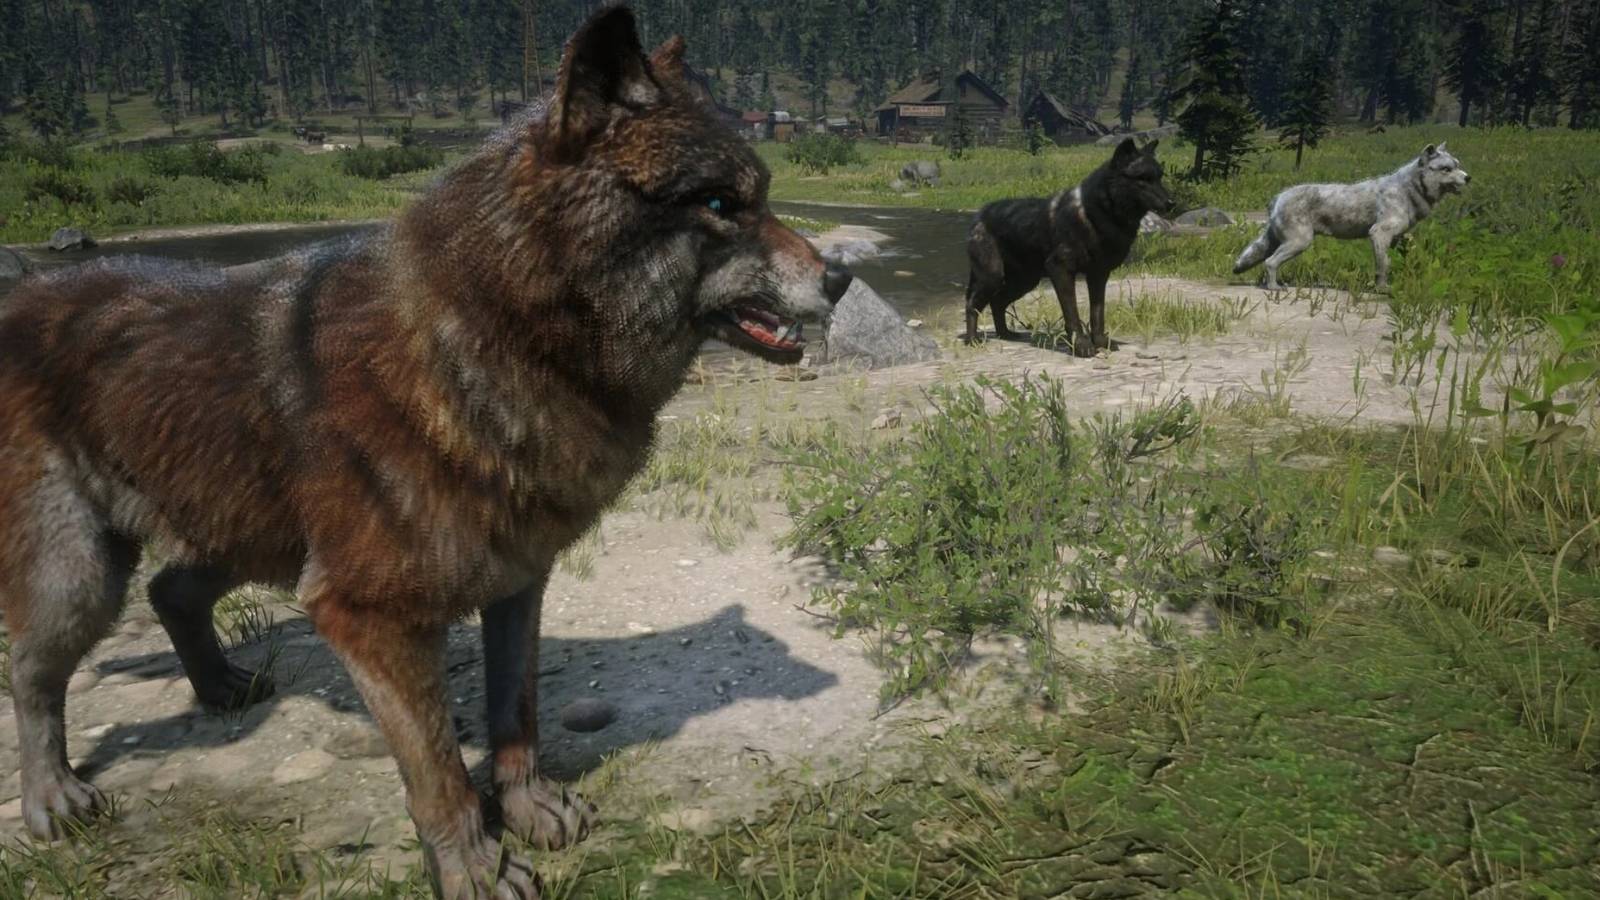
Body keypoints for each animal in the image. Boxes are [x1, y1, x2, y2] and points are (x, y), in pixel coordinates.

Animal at [0, 7, 849, 898]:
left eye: (764, 196)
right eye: (722, 203)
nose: (842, 278)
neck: (499, 327)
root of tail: (20, 298)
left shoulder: (515, 582)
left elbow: (516, 712)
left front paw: (531, 808)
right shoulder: (368, 616)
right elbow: (438, 766)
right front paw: (472, 865)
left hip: (243, 532)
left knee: (170, 591)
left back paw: (221, 684)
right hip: (83, 576)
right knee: (31, 673)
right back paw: (51, 796)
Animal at [963, 138, 1174, 354]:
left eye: (1160, 177)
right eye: (1143, 179)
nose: (1171, 203)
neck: (1093, 214)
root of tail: (980, 215)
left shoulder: (1099, 275)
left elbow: (1097, 314)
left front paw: (1100, 342)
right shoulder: (1061, 270)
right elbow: (1072, 314)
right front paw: (1081, 346)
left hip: (1025, 281)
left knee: (997, 302)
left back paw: (1005, 334)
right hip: (993, 277)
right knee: (972, 305)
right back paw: (973, 340)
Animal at [1233, 143, 1471, 292]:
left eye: (1458, 165)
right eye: (1447, 169)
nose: (1468, 178)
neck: (1408, 189)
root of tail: (1278, 197)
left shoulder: (1394, 239)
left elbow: (1387, 263)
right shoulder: (1379, 234)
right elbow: (1384, 265)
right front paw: (1382, 289)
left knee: (1265, 261)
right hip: (1299, 242)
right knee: (1271, 263)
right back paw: (1274, 288)